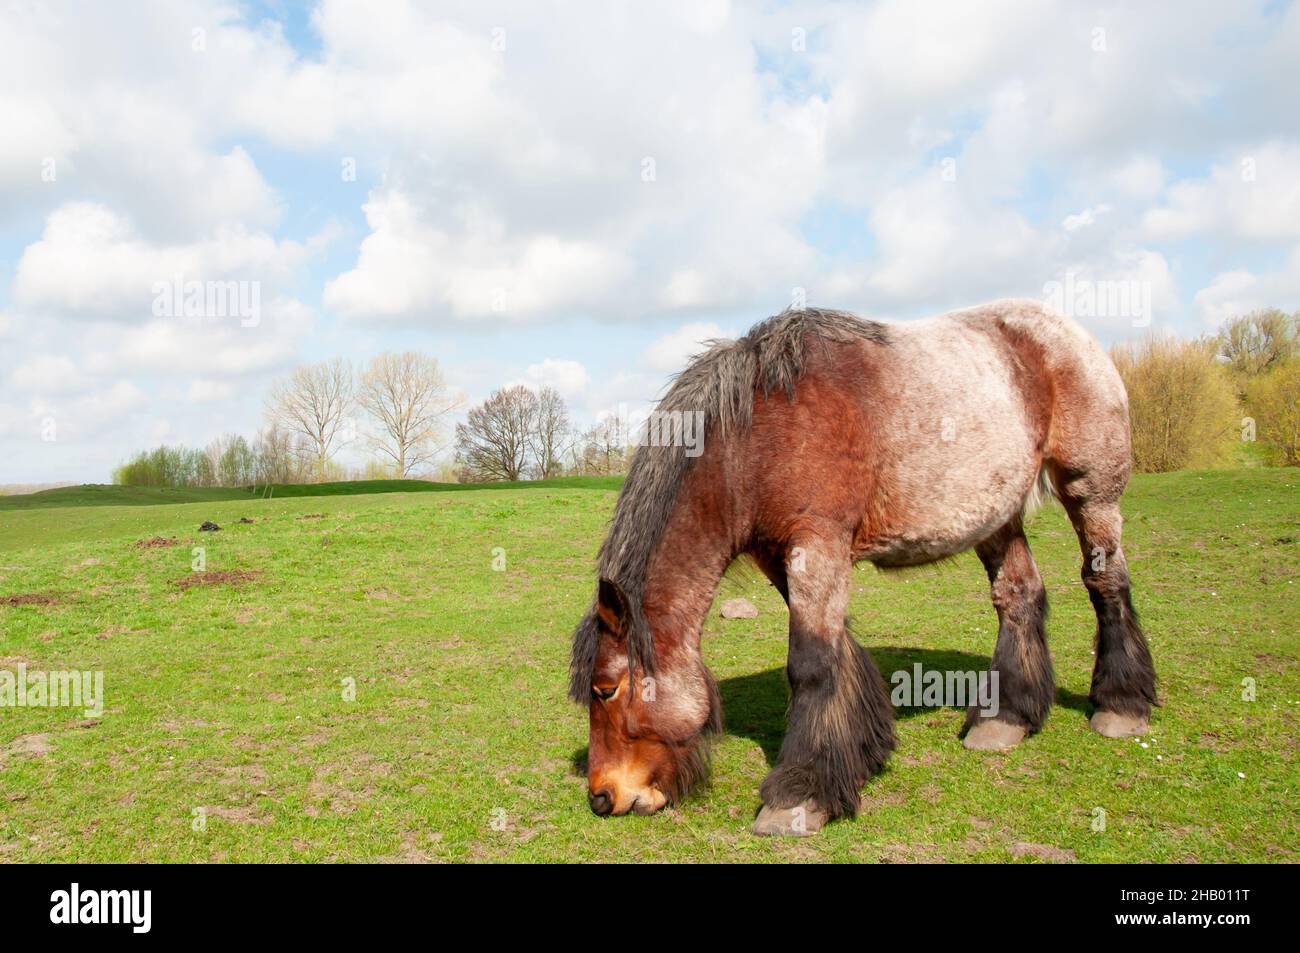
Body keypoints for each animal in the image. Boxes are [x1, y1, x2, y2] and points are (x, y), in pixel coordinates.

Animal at [569, 299, 1157, 836]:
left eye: (606, 689)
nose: (602, 796)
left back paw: (1121, 706)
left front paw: (799, 793)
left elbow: (810, 662)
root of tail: (1068, 332)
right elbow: (839, 649)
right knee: (1019, 595)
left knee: (1105, 583)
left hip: (1091, 492)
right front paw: (864, 751)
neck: (755, 439)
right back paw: (1006, 718)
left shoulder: (818, 545)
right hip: (997, 516)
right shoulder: (783, 557)